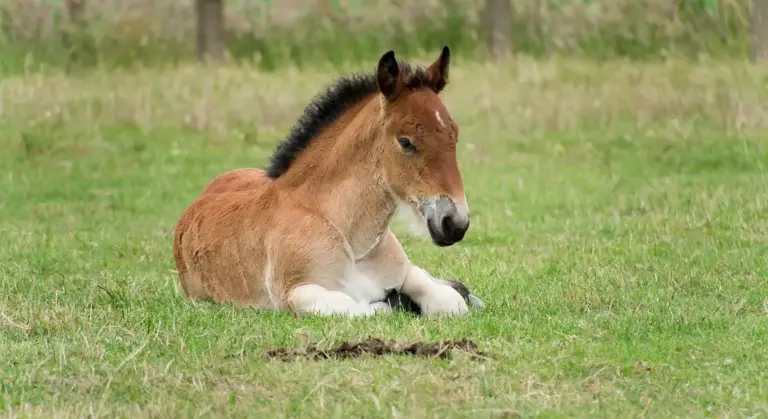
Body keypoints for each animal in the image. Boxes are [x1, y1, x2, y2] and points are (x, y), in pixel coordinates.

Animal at [173, 46, 480, 317]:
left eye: (454, 134)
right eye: (405, 142)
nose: (455, 223)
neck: (351, 240)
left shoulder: (406, 273)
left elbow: (449, 301)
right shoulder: (296, 293)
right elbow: (365, 307)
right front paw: (398, 302)